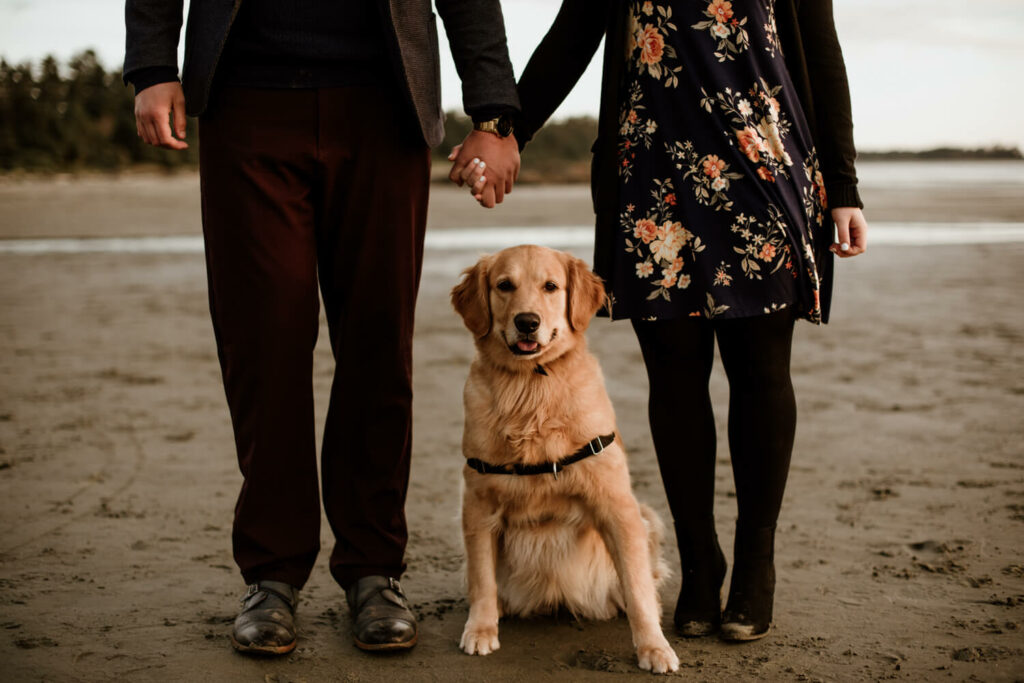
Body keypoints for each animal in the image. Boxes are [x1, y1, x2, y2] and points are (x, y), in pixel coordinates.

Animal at [450, 244, 679, 671]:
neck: (530, 387)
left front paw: (654, 647)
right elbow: (482, 578)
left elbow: (638, 586)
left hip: (646, 516)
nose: (527, 322)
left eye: (551, 287)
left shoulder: (618, 506)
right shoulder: (477, 503)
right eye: (504, 285)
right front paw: (481, 629)